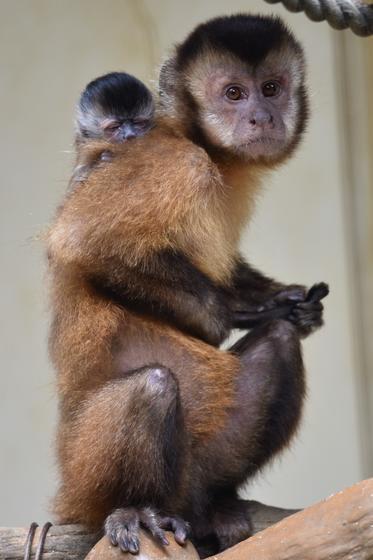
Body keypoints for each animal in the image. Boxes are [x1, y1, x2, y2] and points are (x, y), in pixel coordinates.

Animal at [48, 12, 328, 556]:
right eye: (234, 94)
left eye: (271, 88)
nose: (261, 117)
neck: (196, 140)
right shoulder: (171, 163)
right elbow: (82, 242)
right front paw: (228, 315)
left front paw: (287, 304)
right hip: (83, 479)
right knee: (154, 386)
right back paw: (135, 509)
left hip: (198, 469)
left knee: (280, 345)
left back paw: (213, 503)